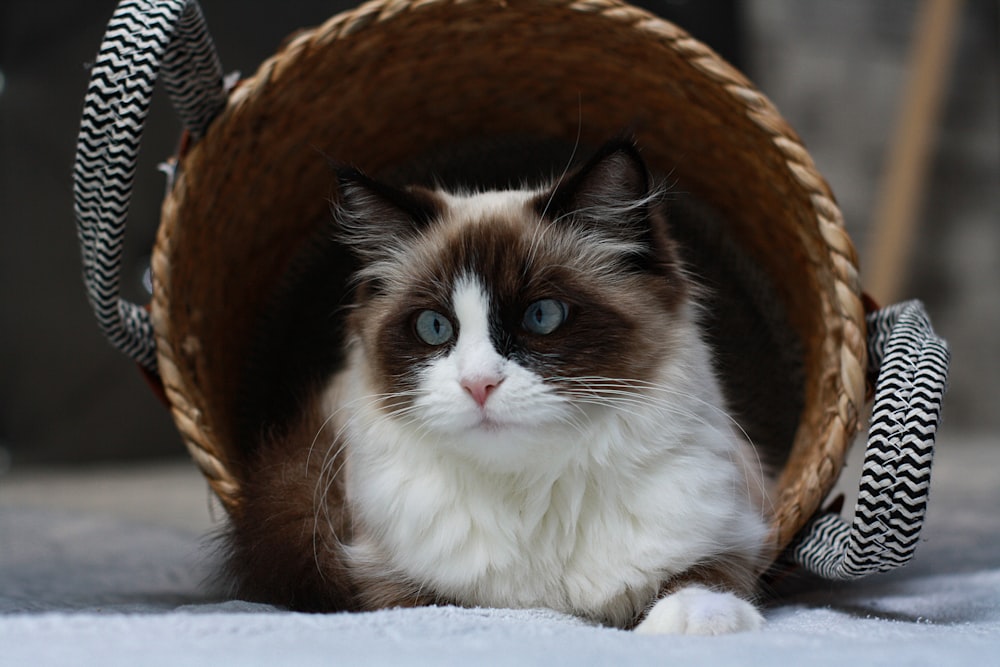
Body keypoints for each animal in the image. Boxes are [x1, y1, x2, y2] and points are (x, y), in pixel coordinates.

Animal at [225, 138, 772, 636]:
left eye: (542, 316)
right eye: (434, 328)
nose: (478, 384)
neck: (532, 494)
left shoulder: (735, 534)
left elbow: (704, 579)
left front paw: (697, 622)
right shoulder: (383, 573)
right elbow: (423, 605)